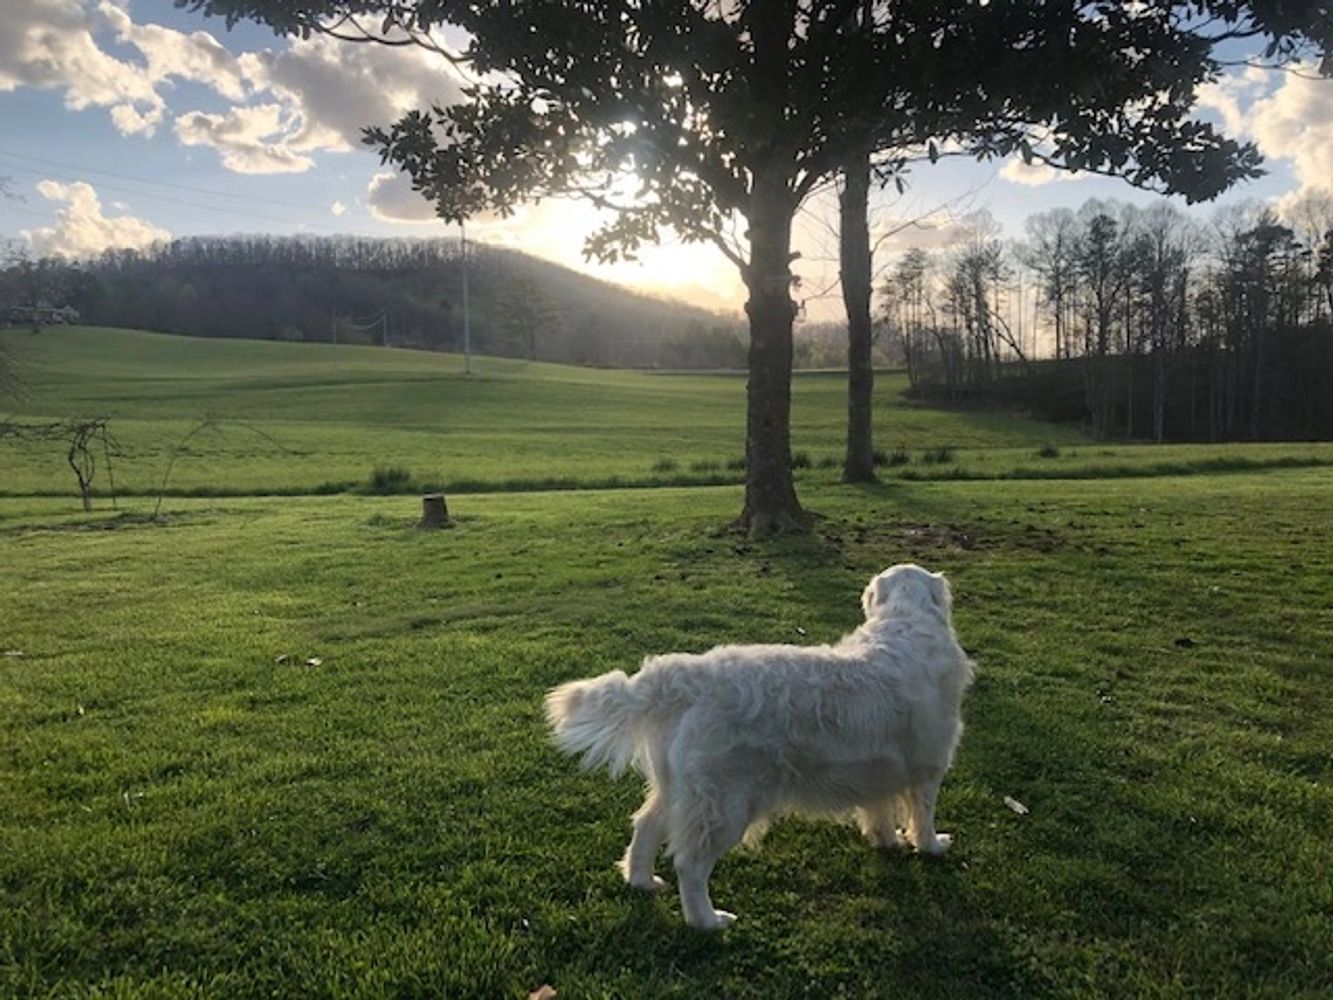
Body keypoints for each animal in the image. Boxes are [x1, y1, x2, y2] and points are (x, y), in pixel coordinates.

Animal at [546, 565, 975, 933]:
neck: (904, 621)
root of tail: (686, 676)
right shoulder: (930, 767)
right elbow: (923, 815)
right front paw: (931, 846)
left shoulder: (878, 769)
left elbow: (879, 808)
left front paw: (887, 841)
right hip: (725, 804)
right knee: (690, 864)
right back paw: (708, 921)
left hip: (680, 789)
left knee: (645, 826)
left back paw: (641, 881)